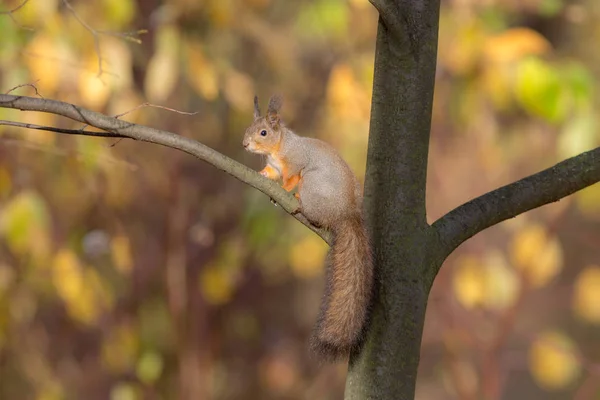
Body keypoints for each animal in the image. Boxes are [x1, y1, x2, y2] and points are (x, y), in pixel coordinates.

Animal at [241, 95, 372, 360]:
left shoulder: (295, 164)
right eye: (249, 127)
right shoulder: (274, 166)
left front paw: (285, 190)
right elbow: (270, 172)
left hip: (313, 184)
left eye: (263, 132)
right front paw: (261, 175)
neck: (280, 146)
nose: (245, 144)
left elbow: (290, 179)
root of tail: (347, 212)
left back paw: (300, 203)